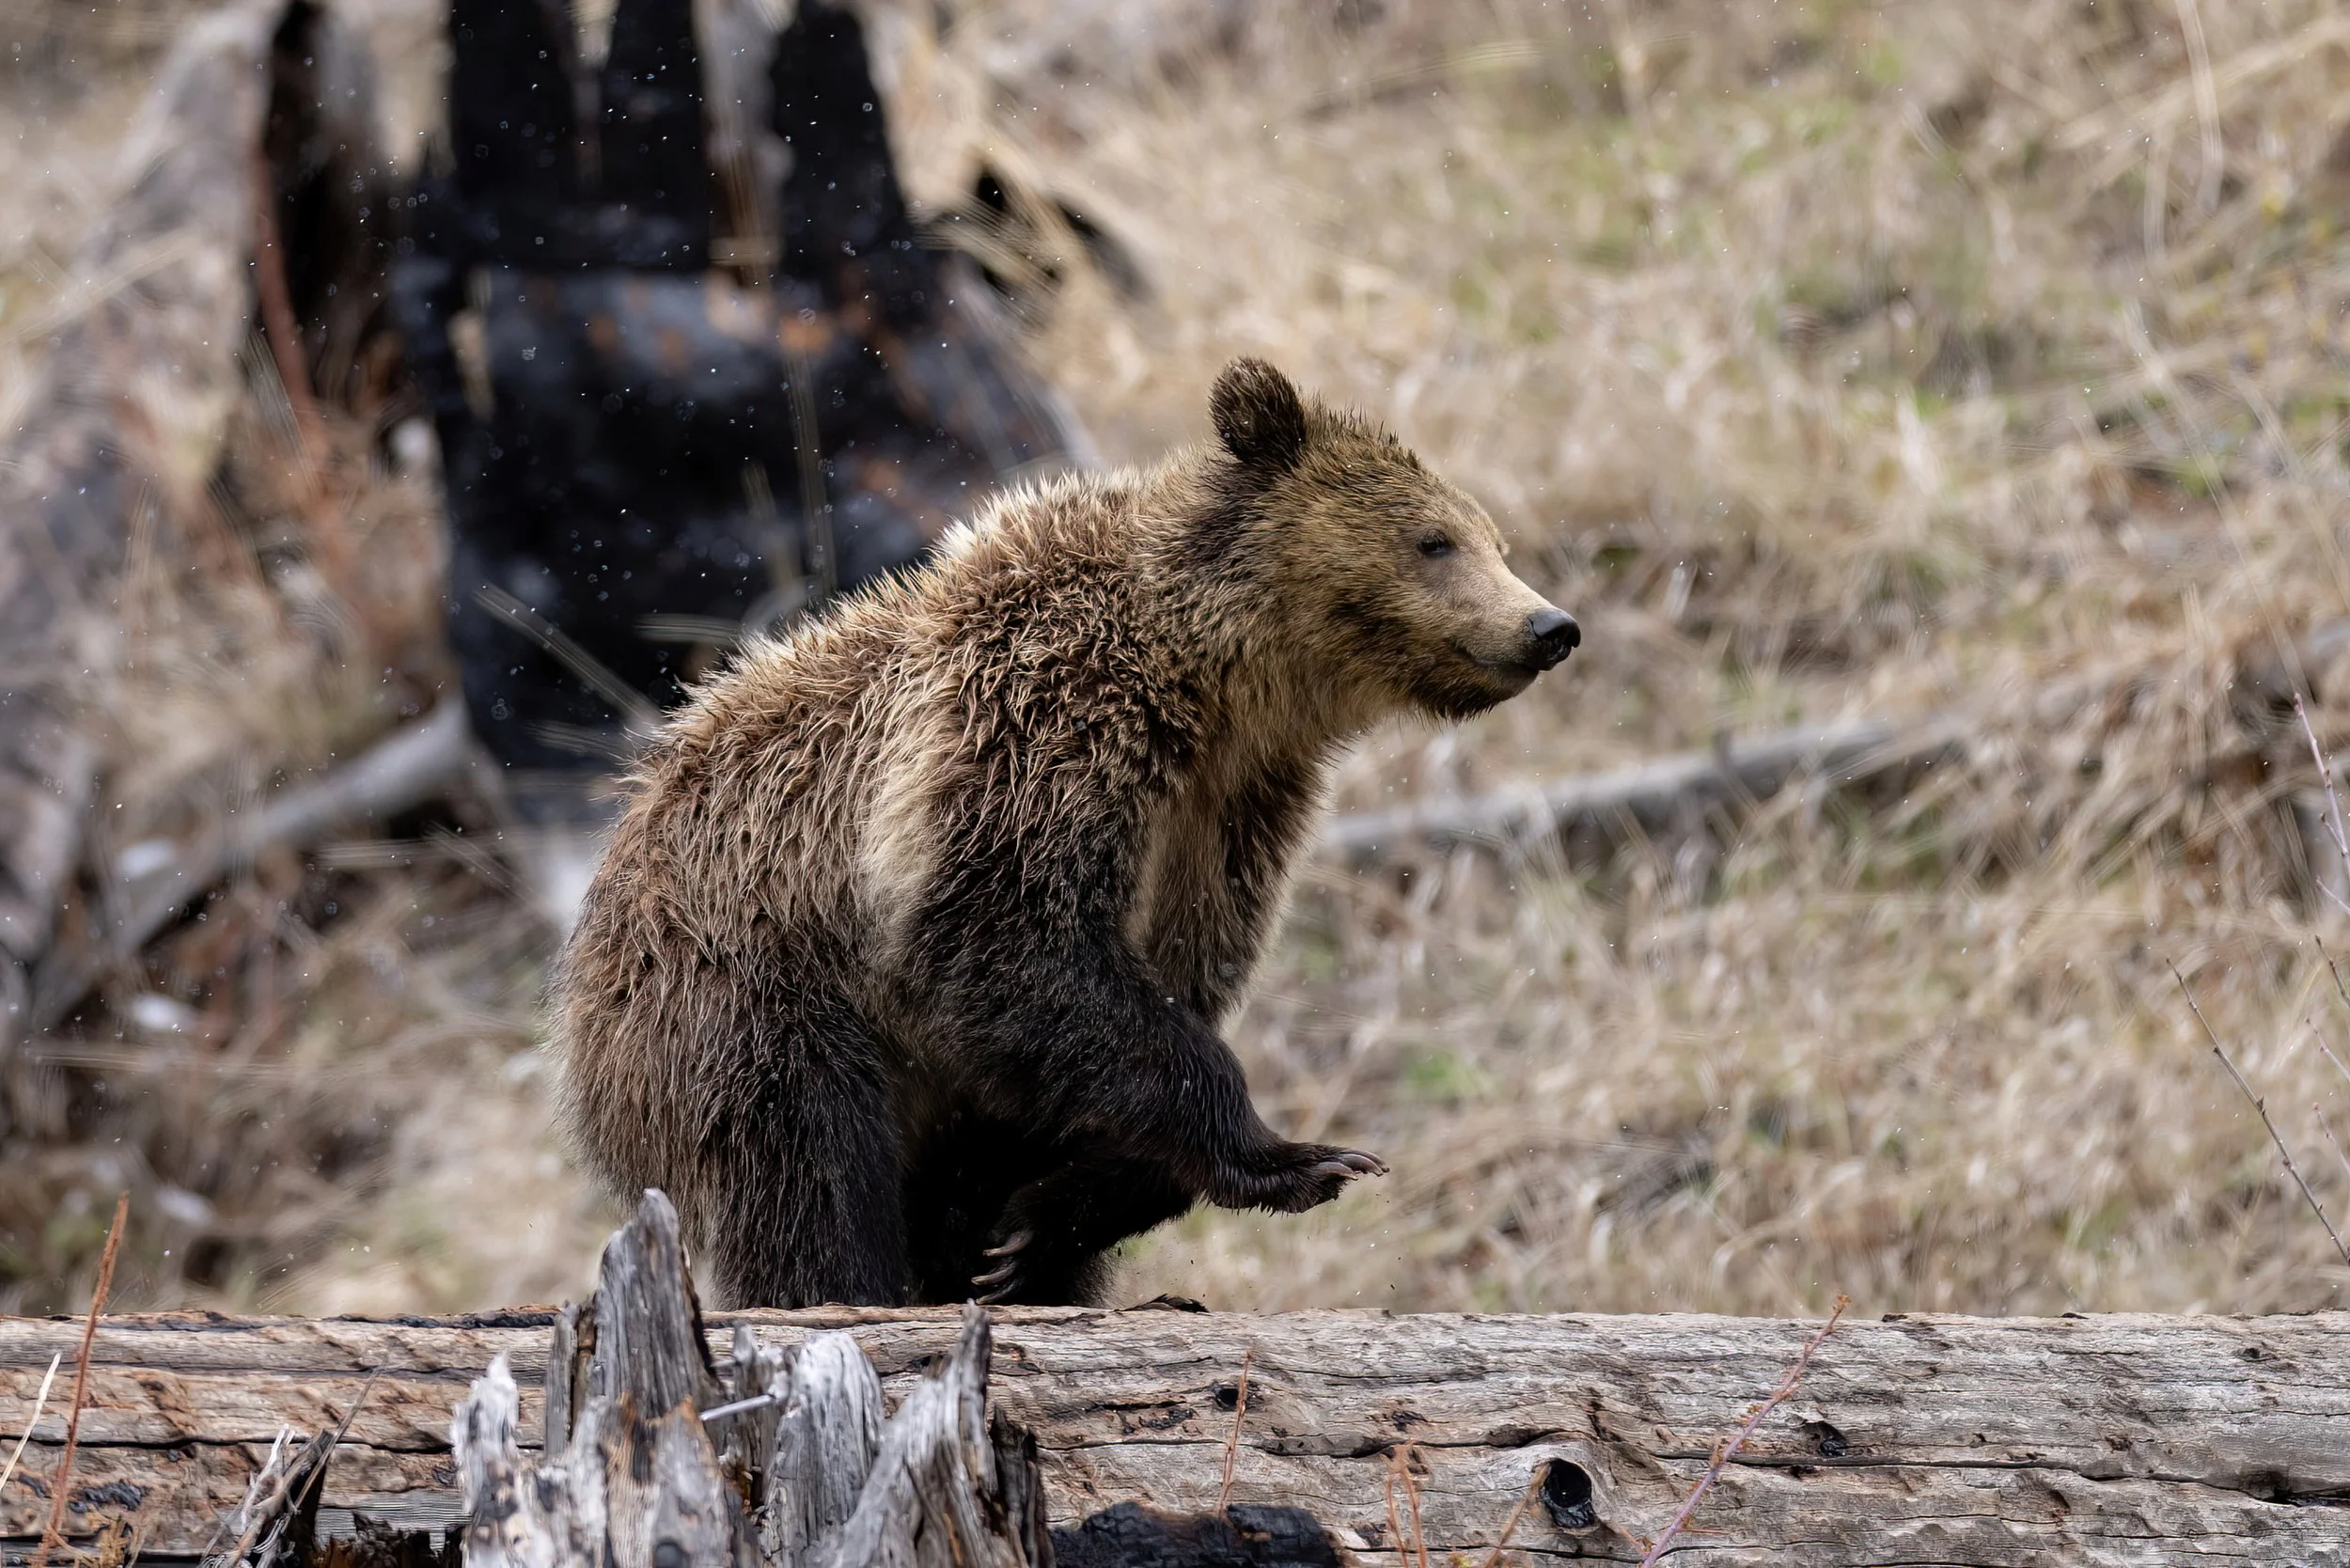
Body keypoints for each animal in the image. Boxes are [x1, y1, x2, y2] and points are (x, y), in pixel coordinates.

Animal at [549, 358, 1580, 1307]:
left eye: (1492, 539)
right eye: (1433, 540)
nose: (1550, 626)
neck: (1212, 684)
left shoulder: (1230, 812)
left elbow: (1152, 996)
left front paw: (1043, 1226)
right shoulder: (1040, 726)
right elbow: (1005, 942)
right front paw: (1294, 1157)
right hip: (740, 988)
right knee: (806, 1159)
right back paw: (850, 1284)